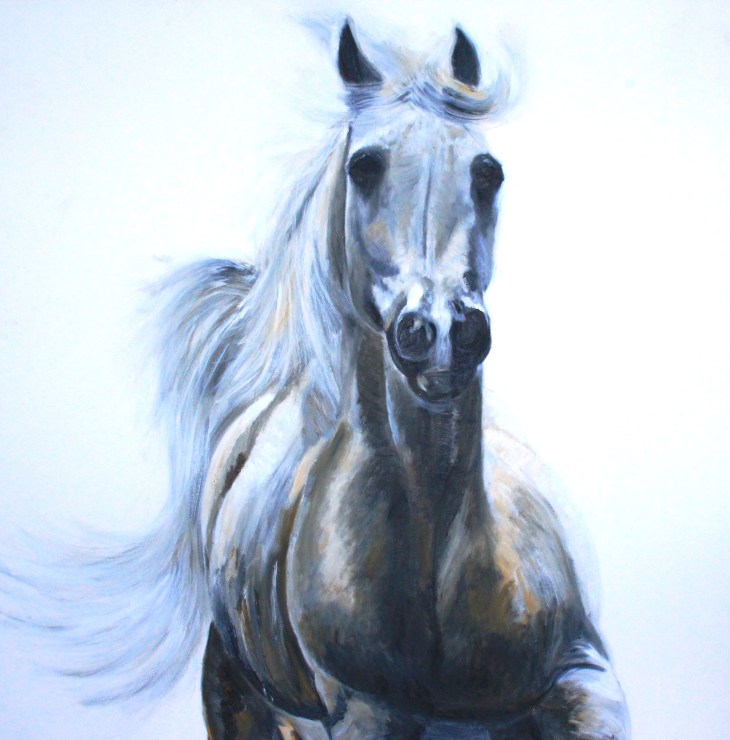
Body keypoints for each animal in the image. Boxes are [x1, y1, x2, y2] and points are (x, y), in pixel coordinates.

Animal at [0, 20, 629, 739]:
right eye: (365, 166)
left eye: (487, 172)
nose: (442, 332)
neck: (441, 545)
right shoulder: (364, 713)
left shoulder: (584, 680)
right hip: (242, 697)